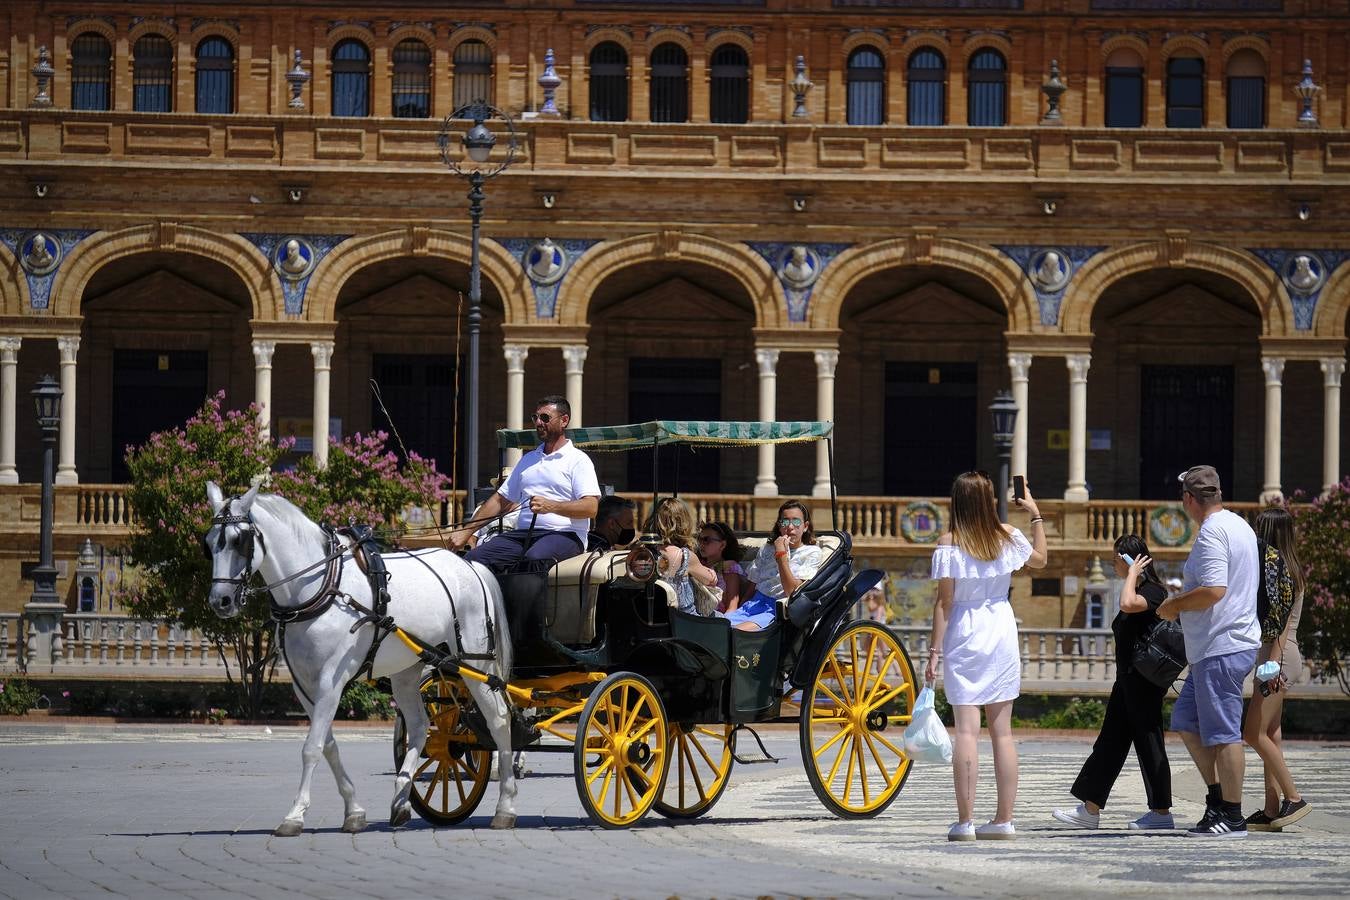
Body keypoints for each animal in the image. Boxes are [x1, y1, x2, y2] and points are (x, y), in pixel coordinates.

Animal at [202, 485, 518, 836]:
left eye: (239, 540)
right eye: (208, 543)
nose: (221, 601)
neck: (321, 585)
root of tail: (470, 566)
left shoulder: (331, 681)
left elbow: (311, 748)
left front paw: (295, 814)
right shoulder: (304, 685)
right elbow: (327, 745)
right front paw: (353, 810)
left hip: (477, 662)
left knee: (499, 719)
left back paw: (505, 805)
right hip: (407, 670)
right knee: (421, 727)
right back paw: (402, 798)